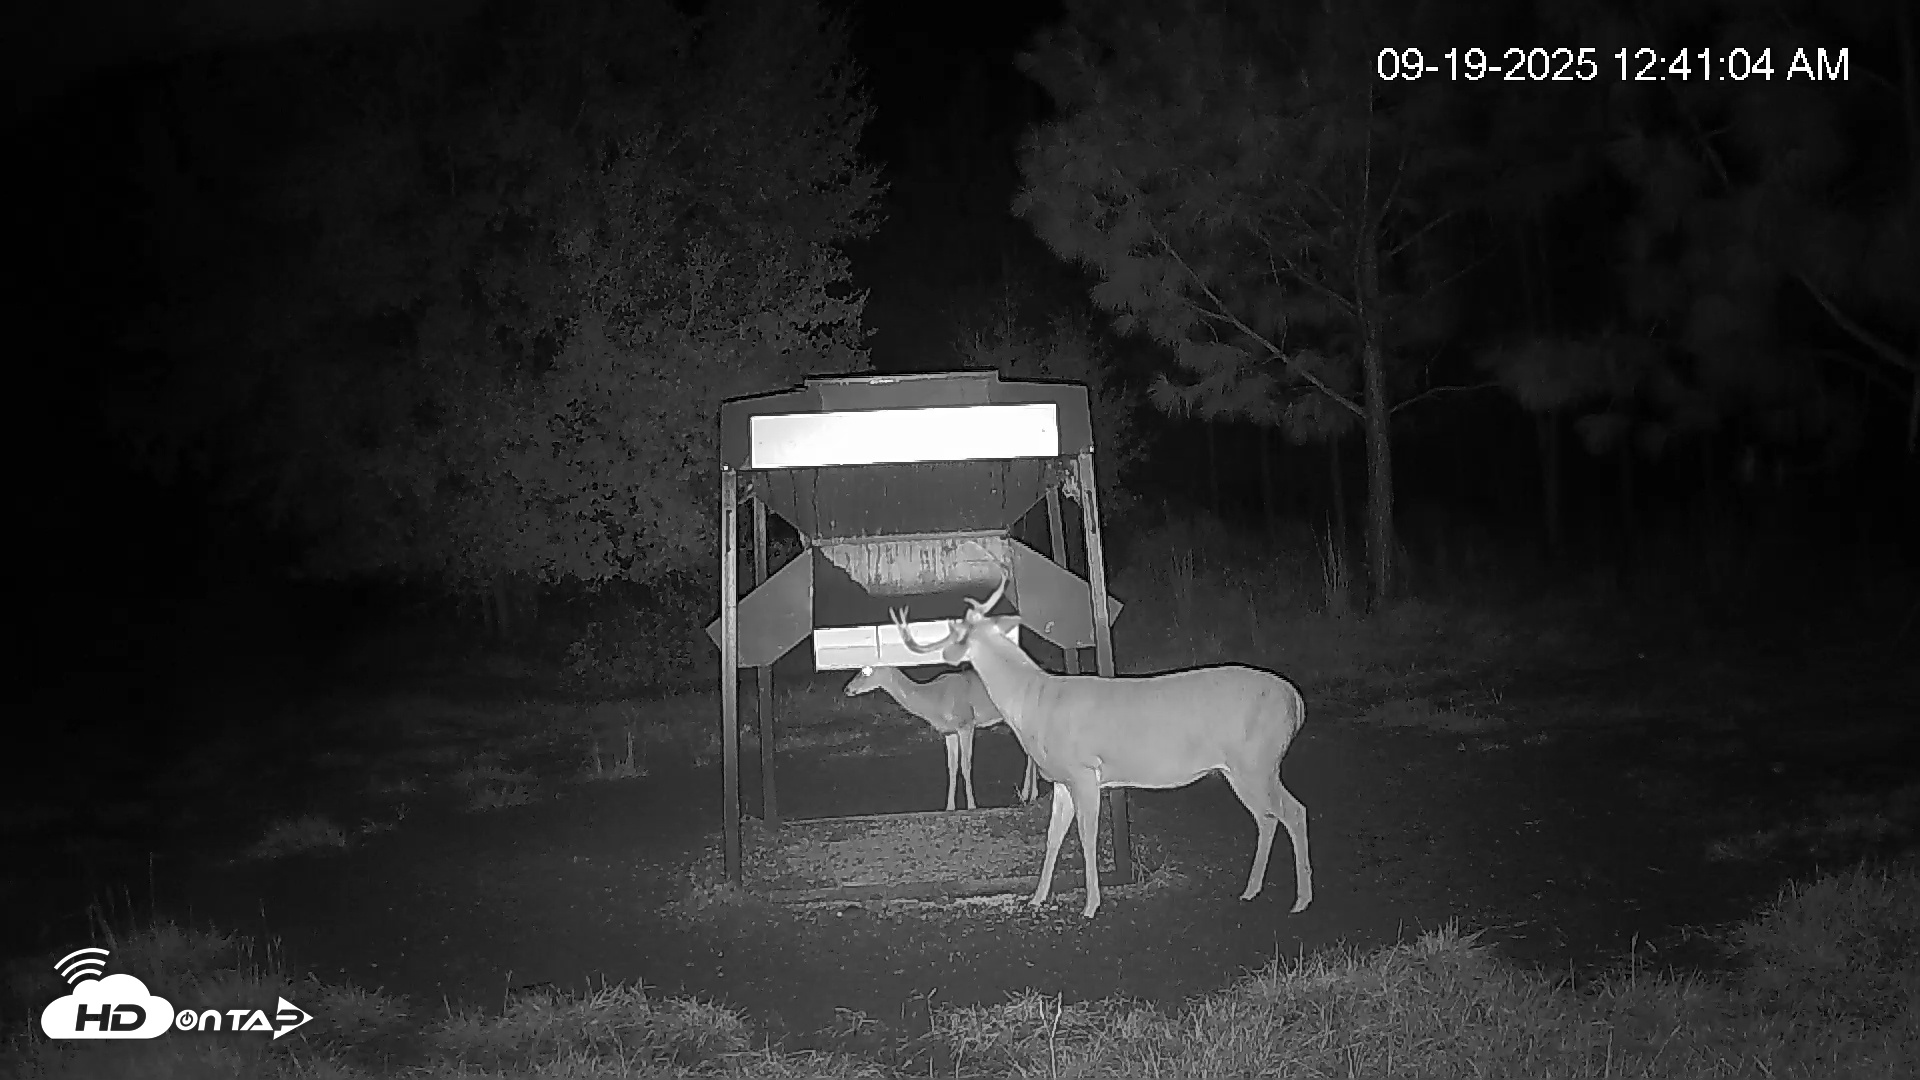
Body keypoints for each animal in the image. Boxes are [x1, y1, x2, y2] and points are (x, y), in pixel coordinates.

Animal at [844, 666, 1040, 811]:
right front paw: (950, 807)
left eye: (866, 671)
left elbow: (966, 765)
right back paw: (1028, 795)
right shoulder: (949, 732)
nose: (847, 689)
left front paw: (971, 805)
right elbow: (952, 767)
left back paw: (1029, 795)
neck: (935, 700)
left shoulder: (966, 723)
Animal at [892, 568, 1311, 919]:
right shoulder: (1061, 779)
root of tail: (1297, 701)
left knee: (1293, 811)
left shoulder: (1083, 771)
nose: (947, 653)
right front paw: (1037, 897)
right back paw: (1251, 890)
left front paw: (1091, 906)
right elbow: (1053, 838)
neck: (1033, 702)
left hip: (1258, 761)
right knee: (1267, 817)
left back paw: (1301, 900)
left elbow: (1087, 837)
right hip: (1238, 769)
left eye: (959, 632)